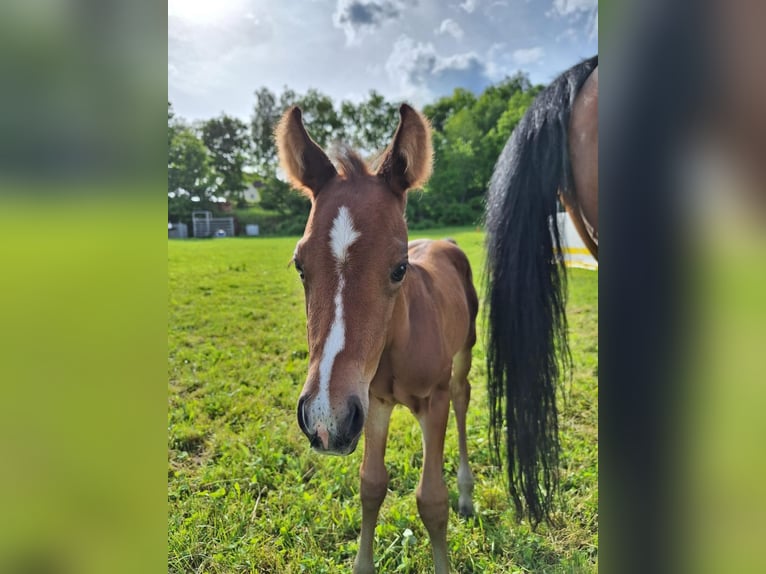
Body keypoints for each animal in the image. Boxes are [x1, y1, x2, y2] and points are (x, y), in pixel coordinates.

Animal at [276, 104, 478, 574]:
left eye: (400, 268)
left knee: (463, 397)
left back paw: (466, 493)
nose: (323, 419)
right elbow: (371, 485)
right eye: (299, 265)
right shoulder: (371, 403)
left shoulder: (433, 401)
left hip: (465, 351)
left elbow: (431, 501)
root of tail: (446, 241)